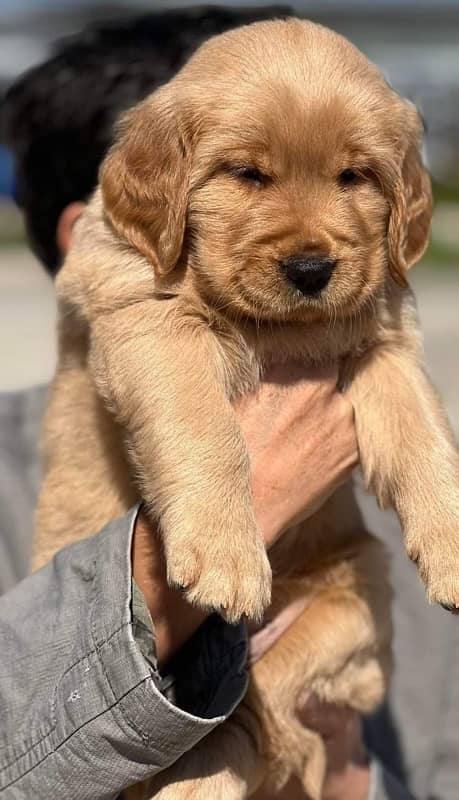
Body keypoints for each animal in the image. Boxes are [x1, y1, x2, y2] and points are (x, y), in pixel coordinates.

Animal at [34, 17, 458, 800]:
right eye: (247, 175)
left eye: (353, 177)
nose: (311, 270)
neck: (273, 327)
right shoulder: (147, 317)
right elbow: (204, 430)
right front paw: (226, 554)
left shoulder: (384, 341)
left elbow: (425, 439)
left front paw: (452, 544)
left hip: (351, 602)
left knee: (268, 718)